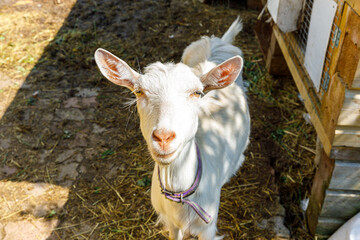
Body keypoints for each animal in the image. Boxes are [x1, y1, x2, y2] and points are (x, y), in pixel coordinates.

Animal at [94, 15, 249, 239]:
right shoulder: (171, 223)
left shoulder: (208, 229)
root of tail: (217, 40)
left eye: (197, 93)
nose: (164, 137)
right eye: (139, 91)